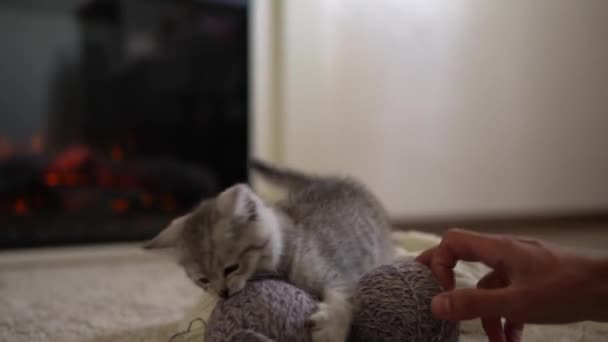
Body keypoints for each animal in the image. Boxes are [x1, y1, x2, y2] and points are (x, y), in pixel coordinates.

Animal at [145, 160, 396, 342]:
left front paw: (331, 330)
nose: (223, 293)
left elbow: (343, 299)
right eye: (203, 280)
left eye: (231, 268)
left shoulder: (338, 274)